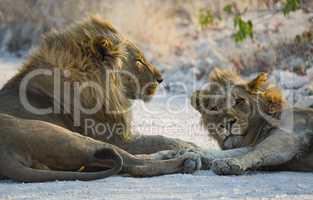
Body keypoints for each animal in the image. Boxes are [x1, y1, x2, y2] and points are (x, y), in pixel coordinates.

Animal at [0, 16, 202, 182]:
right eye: (139, 61)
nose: (161, 79)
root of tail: (6, 155)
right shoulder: (118, 138)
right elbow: (157, 139)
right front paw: (194, 147)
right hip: (68, 136)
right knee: (136, 164)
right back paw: (188, 160)